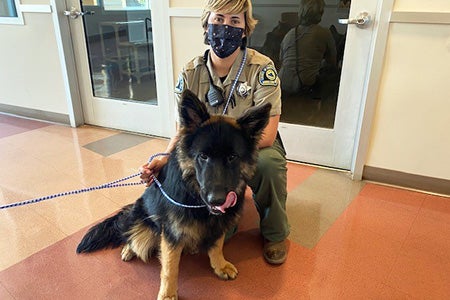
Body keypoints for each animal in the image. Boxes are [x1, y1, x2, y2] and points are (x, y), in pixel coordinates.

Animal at [76, 89, 270, 300]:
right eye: (203, 156)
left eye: (232, 157)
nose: (217, 199)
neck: (195, 198)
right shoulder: (171, 233)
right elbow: (170, 268)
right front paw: (168, 294)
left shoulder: (219, 223)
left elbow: (217, 246)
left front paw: (219, 265)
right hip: (143, 224)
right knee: (130, 234)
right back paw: (128, 248)